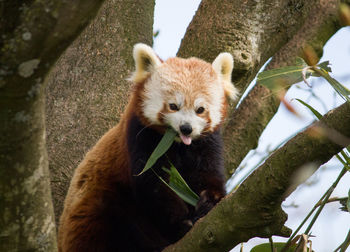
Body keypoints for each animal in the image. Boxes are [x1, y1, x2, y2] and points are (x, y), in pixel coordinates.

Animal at [58, 43, 238, 252]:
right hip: (94, 210)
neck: (177, 144)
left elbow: (207, 173)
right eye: (173, 106)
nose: (186, 128)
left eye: (200, 109)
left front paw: (209, 200)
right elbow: (153, 186)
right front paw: (180, 225)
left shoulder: (206, 142)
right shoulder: (141, 137)